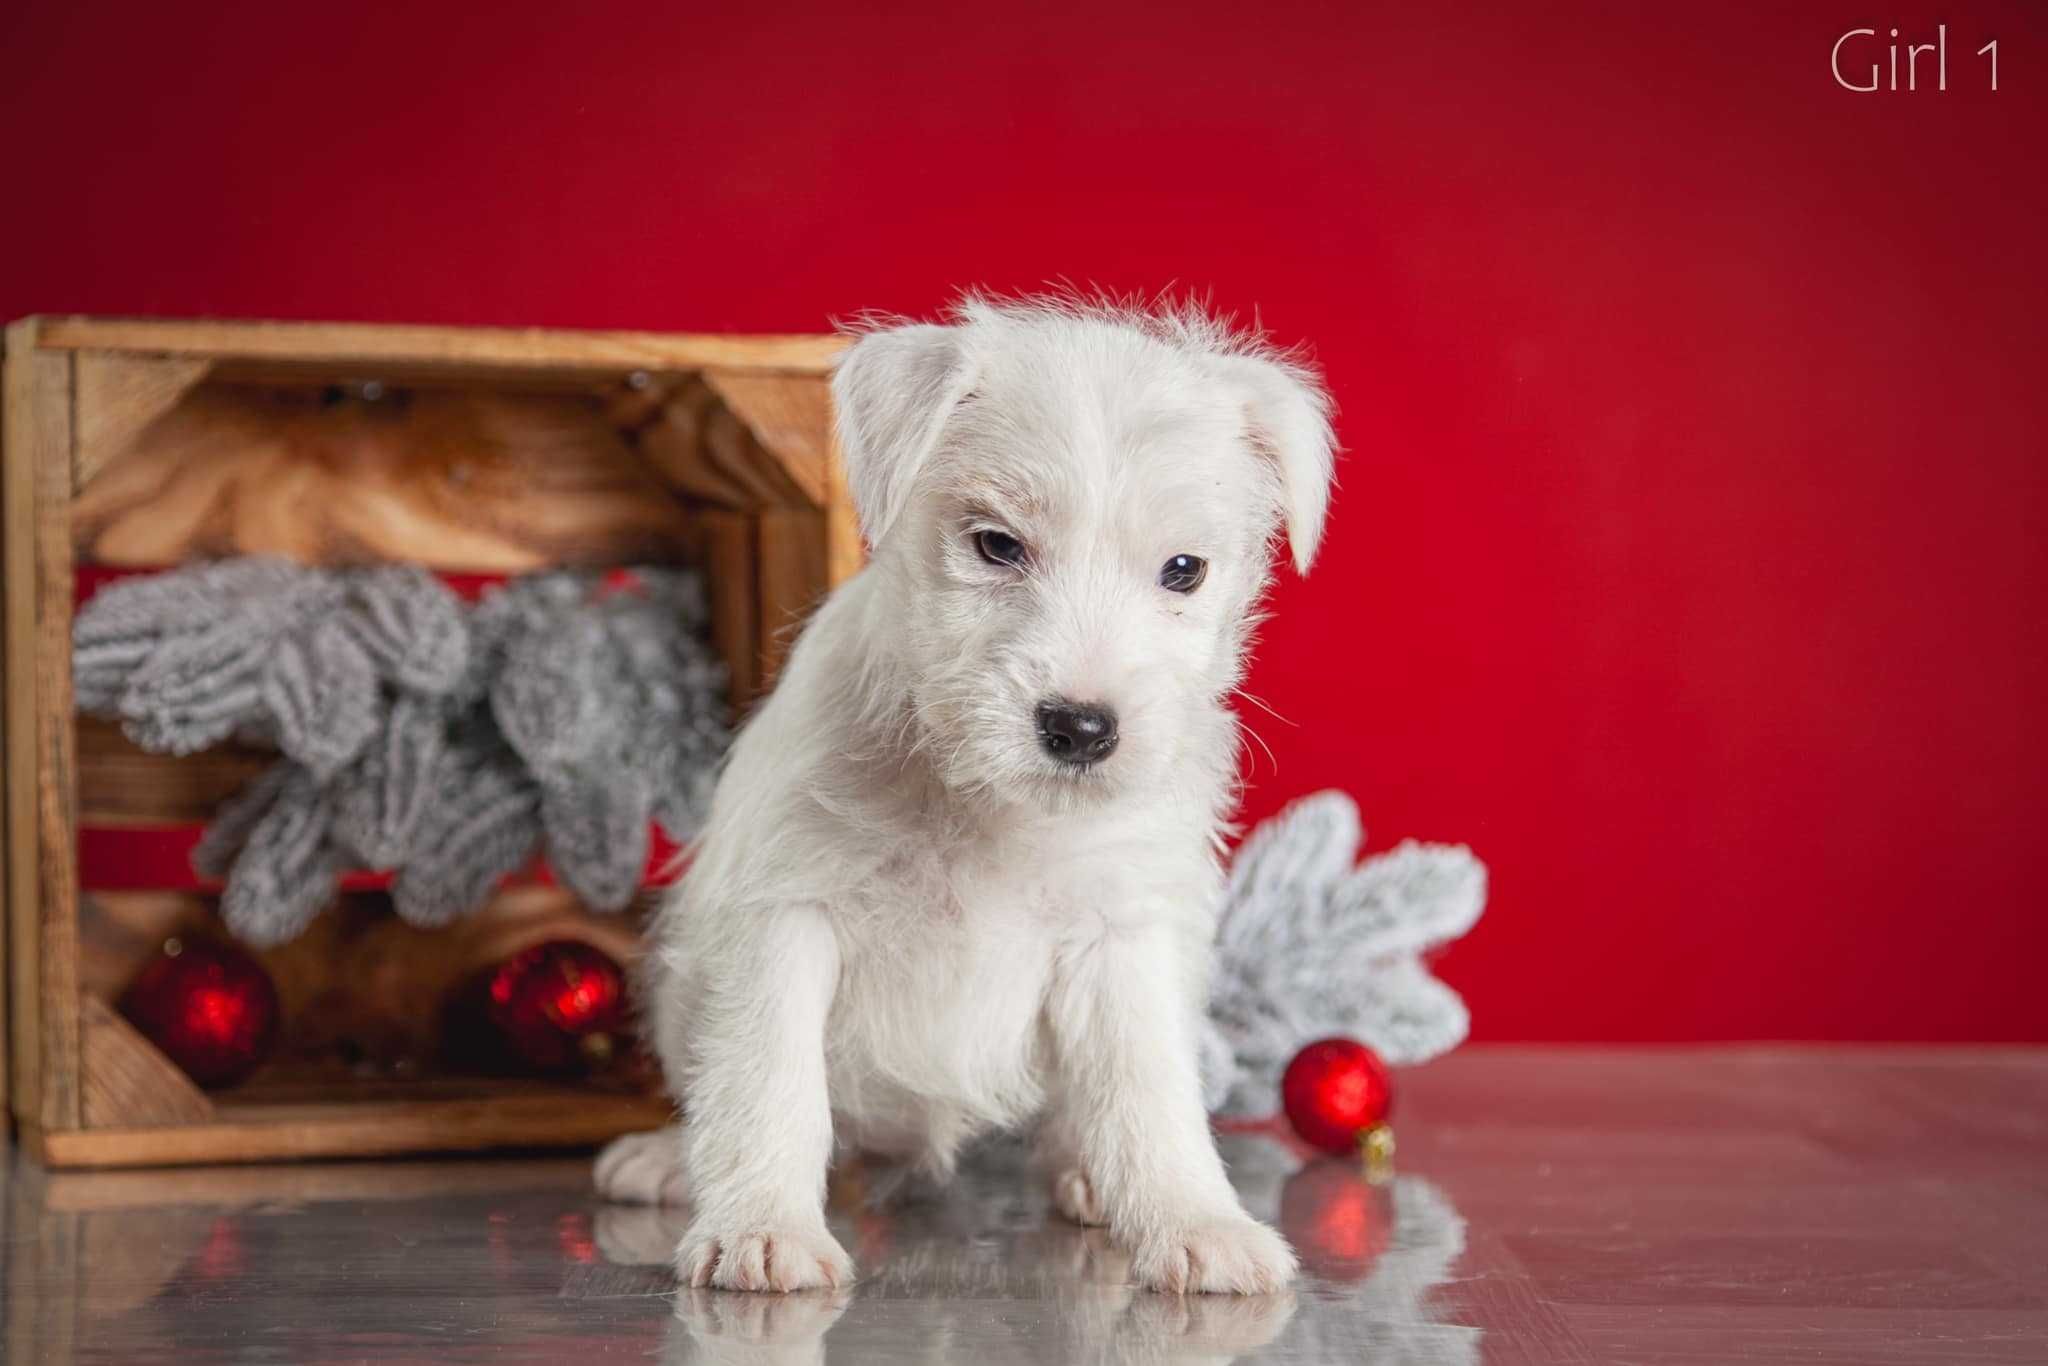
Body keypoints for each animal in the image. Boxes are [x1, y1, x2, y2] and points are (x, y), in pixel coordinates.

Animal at [598, 294, 1327, 1302]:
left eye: (1184, 569)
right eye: (996, 545)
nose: (1081, 727)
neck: (983, 799)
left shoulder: (1121, 939)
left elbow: (1147, 1093)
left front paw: (1196, 1220)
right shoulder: (784, 919)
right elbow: (768, 1080)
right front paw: (764, 1229)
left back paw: (1086, 1171)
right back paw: (669, 1160)